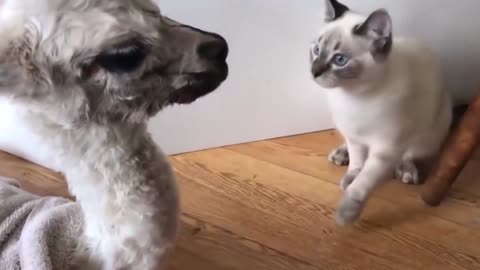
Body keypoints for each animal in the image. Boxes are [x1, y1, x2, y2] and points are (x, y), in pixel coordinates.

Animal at [314, 0, 452, 226]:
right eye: (316, 50)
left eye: (340, 60)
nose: (314, 71)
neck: (352, 96)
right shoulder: (354, 135)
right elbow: (357, 163)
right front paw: (350, 176)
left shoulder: (386, 148)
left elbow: (362, 184)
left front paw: (345, 215)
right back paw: (340, 154)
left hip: (431, 133)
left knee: (409, 154)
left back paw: (406, 170)